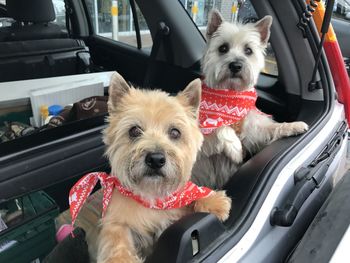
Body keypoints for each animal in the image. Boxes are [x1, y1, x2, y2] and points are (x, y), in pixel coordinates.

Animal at [191, 8, 308, 190]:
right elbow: (220, 128)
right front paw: (236, 149)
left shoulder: (254, 128)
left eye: (248, 50)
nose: (236, 65)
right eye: (223, 48)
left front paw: (294, 125)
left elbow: (270, 129)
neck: (230, 95)